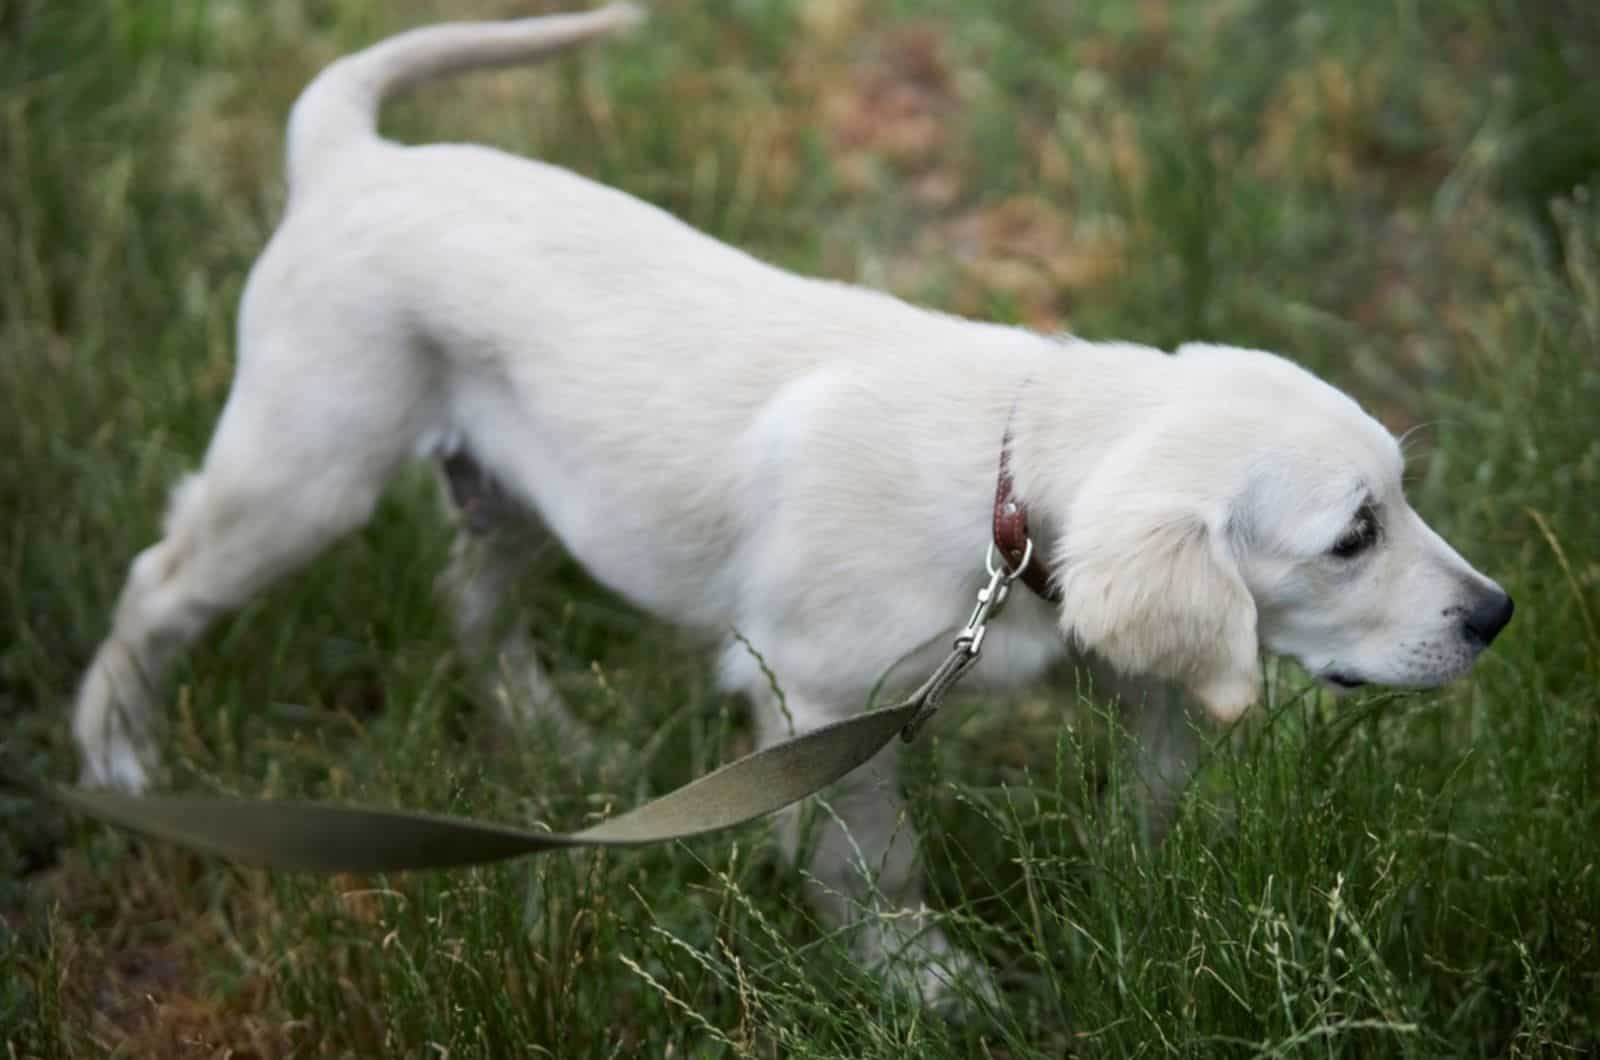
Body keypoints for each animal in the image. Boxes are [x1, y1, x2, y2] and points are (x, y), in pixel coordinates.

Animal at [72, 6, 1510, 1005]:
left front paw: (1153, 895)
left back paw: (557, 738)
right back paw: (117, 755)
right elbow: (879, 863)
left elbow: (1153, 780)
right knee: (156, 582)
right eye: (1352, 537)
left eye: (1400, 498)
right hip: (307, 465)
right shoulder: (822, 703)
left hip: (519, 497)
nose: (1496, 614)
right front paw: (929, 983)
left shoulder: (1107, 652)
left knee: (467, 599)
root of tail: (349, 156)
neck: (1003, 485)